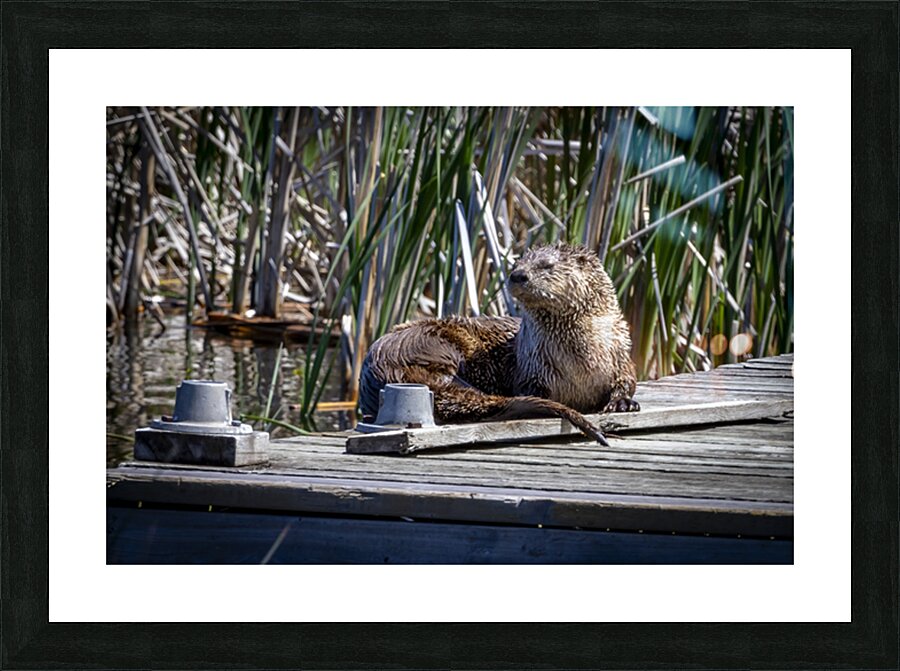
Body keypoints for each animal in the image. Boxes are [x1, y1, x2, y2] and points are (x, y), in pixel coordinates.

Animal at [358, 242, 639, 445]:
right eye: (517, 262)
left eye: (547, 265)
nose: (518, 275)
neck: (581, 362)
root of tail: (386, 366)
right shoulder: (533, 369)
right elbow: (528, 390)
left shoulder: (621, 354)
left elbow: (628, 381)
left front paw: (623, 402)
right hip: (436, 344)